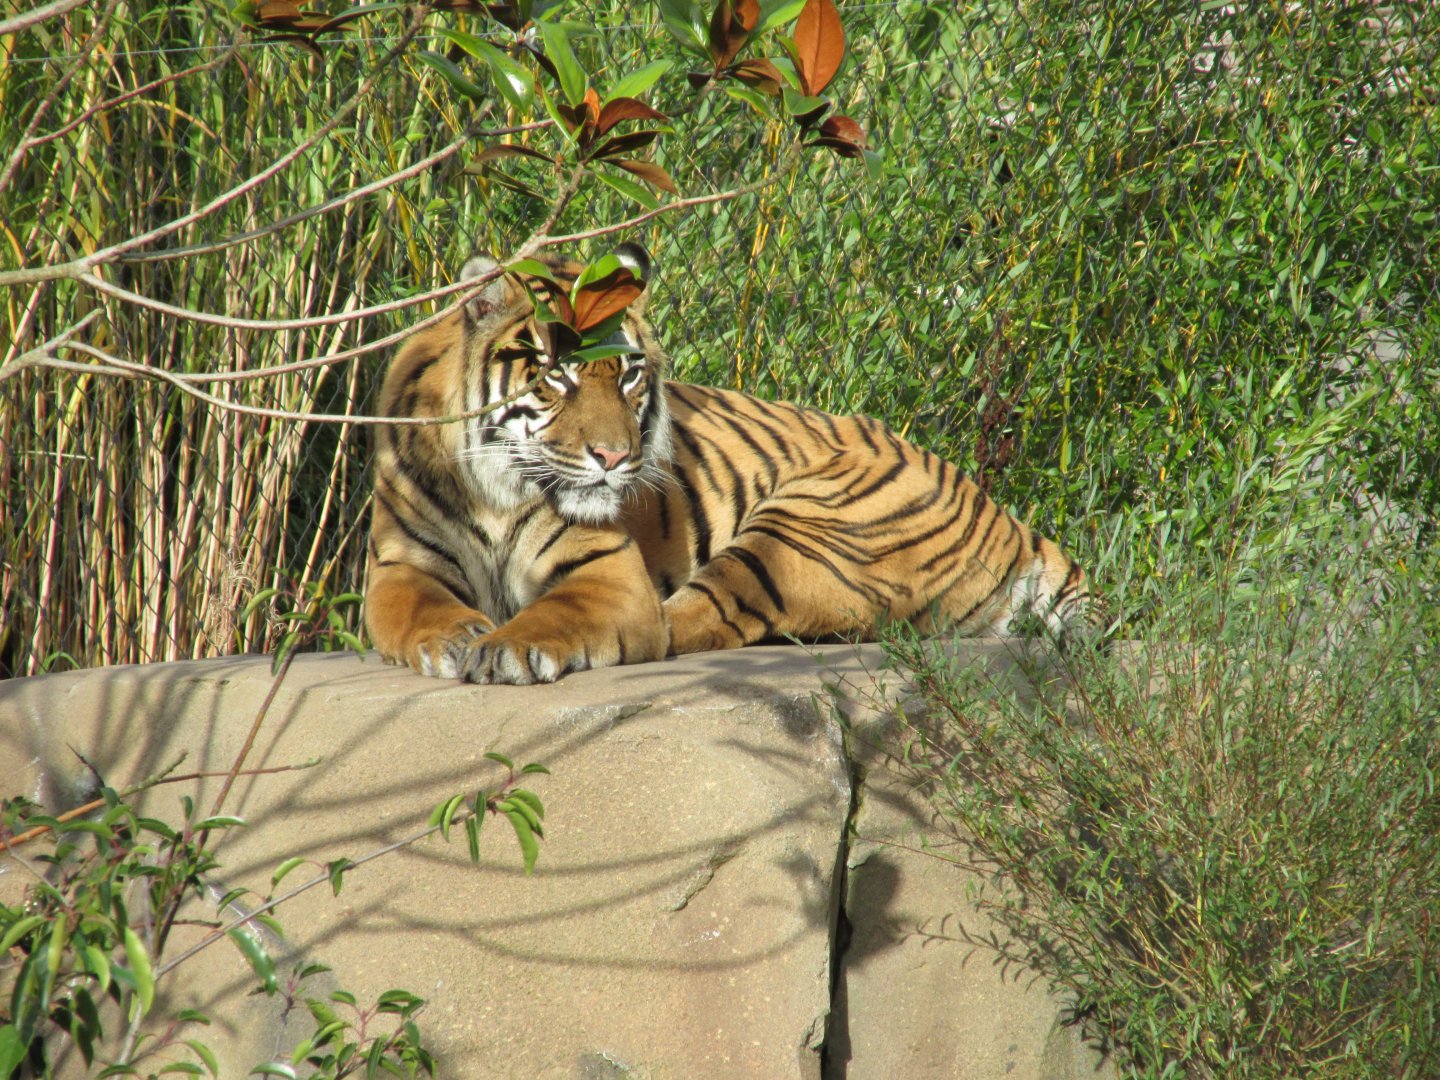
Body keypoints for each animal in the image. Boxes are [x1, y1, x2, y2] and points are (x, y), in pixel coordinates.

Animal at [364, 244, 1096, 684]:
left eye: (628, 376)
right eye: (556, 378)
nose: (616, 457)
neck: (495, 491)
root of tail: (1008, 517)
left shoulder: (607, 572)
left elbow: (559, 612)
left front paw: (508, 647)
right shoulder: (400, 565)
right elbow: (417, 609)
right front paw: (457, 638)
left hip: (802, 527)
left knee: (690, 622)